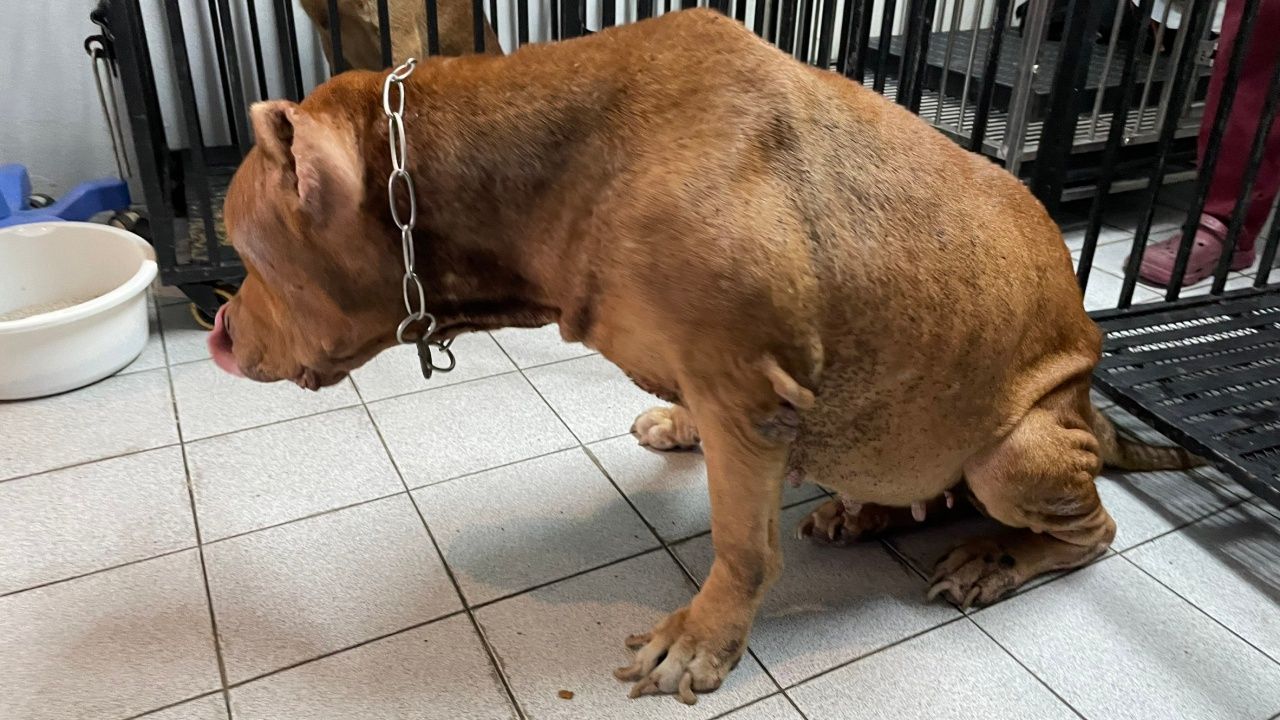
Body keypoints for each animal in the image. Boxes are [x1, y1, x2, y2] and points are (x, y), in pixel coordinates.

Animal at [208, 9, 1201, 703]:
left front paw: (703, 638)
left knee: (1087, 531)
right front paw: (676, 425)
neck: (558, 165)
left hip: (1020, 451)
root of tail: (1091, 400)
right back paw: (868, 509)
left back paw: (996, 556)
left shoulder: (748, 401)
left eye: (249, 252)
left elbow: (740, 543)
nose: (215, 329)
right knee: (923, 485)